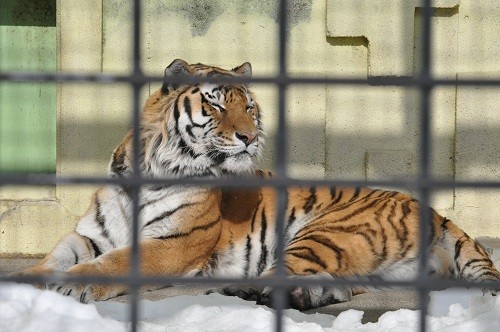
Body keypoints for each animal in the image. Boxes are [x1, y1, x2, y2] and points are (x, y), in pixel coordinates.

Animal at [17, 59, 498, 308]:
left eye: (248, 106)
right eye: (214, 103)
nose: (250, 136)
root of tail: (434, 211)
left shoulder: (174, 243)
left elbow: (113, 263)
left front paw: (75, 284)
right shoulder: (91, 234)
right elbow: (56, 257)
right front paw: (26, 280)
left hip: (324, 232)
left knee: (289, 272)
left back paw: (246, 289)